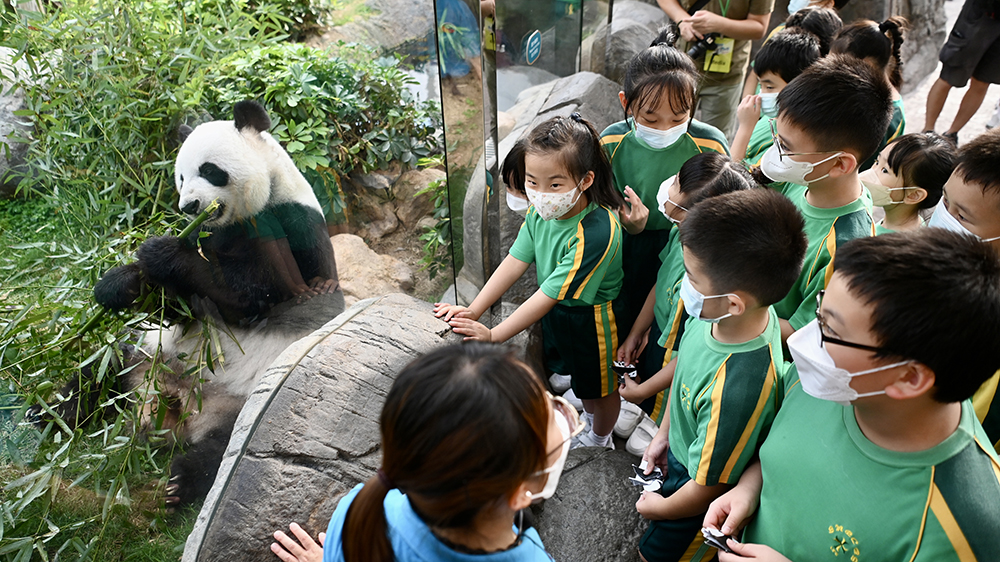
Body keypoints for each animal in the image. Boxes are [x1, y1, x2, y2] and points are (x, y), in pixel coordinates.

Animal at [90, 99, 348, 504]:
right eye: (180, 178)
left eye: (210, 171)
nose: (189, 207)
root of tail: (177, 406)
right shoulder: (211, 236)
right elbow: (177, 310)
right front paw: (118, 283)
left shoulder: (290, 226)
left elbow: (253, 292)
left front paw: (160, 251)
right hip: (147, 354)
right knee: (103, 368)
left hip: (242, 407)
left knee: (223, 450)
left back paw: (179, 484)